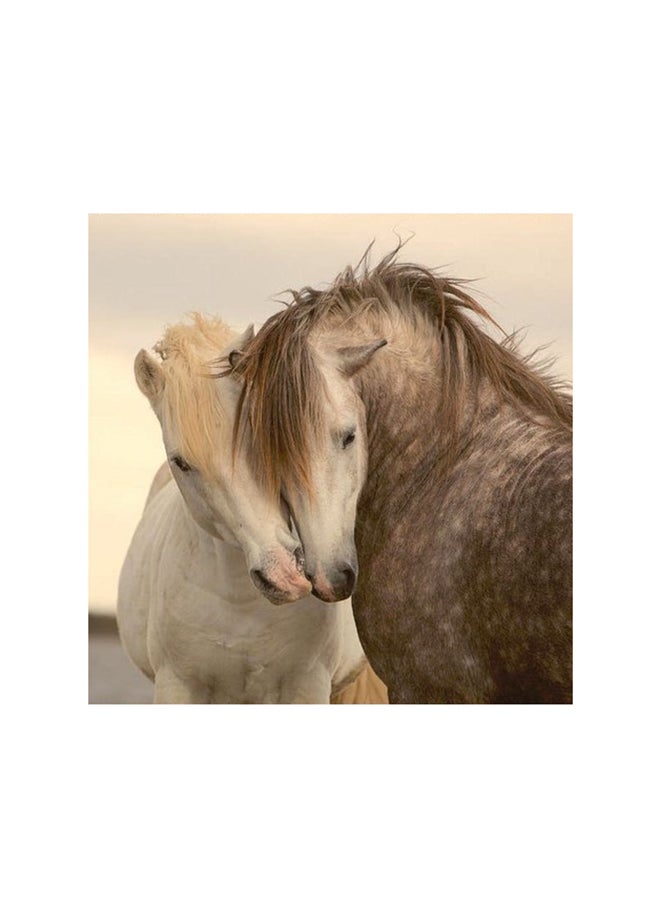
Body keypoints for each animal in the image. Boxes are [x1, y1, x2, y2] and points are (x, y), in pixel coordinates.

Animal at [117, 314, 387, 703]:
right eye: (181, 462)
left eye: (259, 433)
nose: (283, 574)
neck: (243, 607)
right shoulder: (176, 685)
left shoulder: (308, 684)